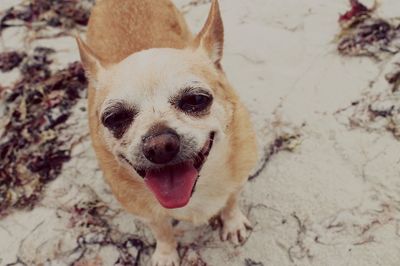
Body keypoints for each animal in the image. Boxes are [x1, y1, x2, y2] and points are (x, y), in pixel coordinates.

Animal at [76, 0, 258, 264]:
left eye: (196, 99)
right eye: (114, 118)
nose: (159, 146)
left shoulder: (238, 179)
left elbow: (231, 200)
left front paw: (232, 222)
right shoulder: (148, 212)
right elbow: (161, 228)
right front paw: (166, 253)